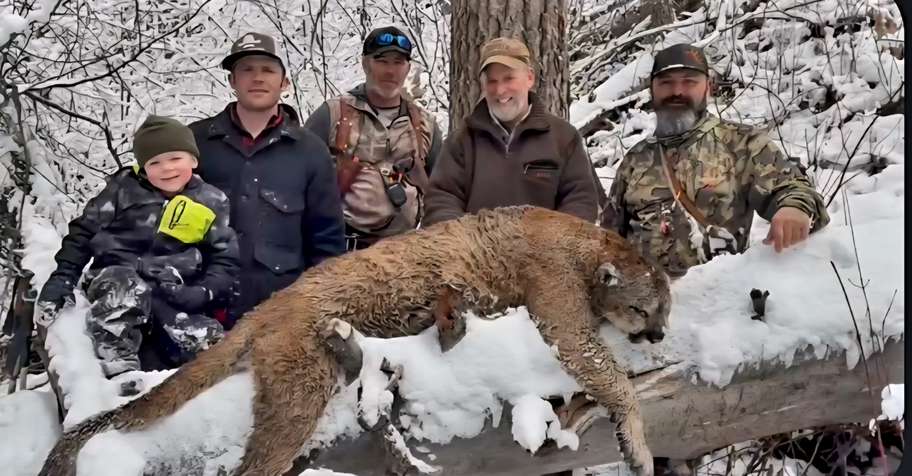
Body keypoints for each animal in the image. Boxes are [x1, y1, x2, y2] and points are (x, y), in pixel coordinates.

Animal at [39, 206, 670, 476]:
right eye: (643, 308)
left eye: (666, 309)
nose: (659, 331)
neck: (587, 248)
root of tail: (273, 303)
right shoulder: (560, 313)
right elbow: (613, 377)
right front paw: (637, 445)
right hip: (300, 384)